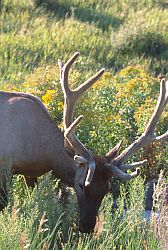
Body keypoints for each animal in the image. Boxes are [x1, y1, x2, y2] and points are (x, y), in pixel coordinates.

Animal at [0, 51, 167, 233]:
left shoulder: (30, 173)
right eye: (81, 185)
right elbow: (4, 204)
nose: (87, 226)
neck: (43, 154)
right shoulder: (4, 165)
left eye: (106, 189)